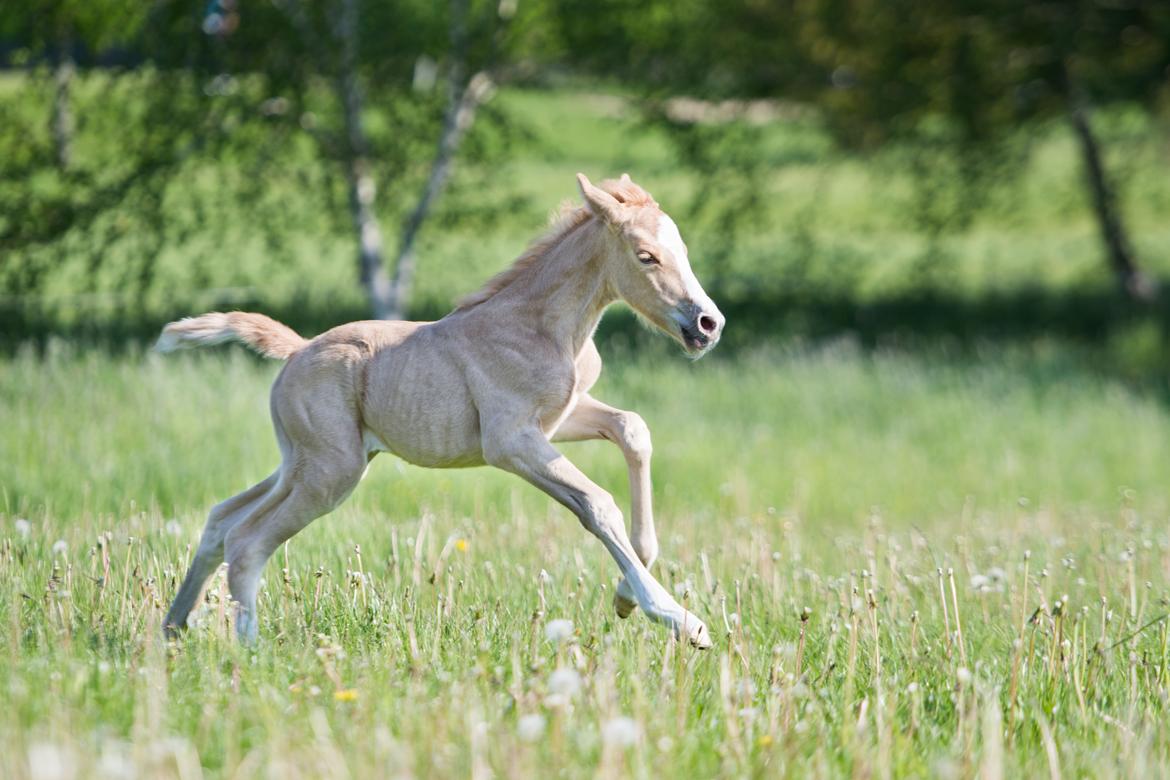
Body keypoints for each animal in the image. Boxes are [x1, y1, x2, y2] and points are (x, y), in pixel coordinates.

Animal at [155, 174, 720, 650]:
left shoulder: (562, 418)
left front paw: (627, 594)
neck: (543, 328)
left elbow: (633, 429)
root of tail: (295, 350)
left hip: (302, 462)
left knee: (221, 519)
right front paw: (679, 619)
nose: (707, 324)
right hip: (330, 472)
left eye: (684, 250)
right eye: (646, 256)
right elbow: (598, 504)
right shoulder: (510, 441)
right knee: (247, 542)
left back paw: (172, 630)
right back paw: (248, 653)